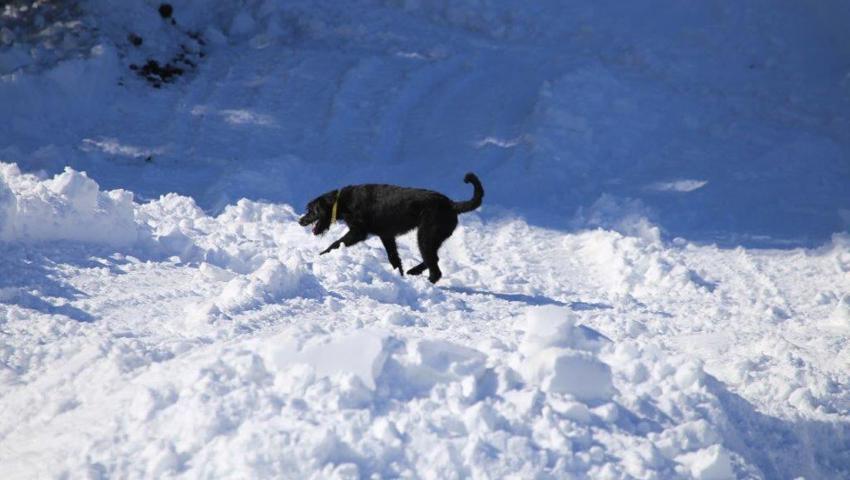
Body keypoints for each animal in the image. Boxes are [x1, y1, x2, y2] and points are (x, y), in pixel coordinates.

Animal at [298, 173, 484, 284]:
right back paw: (413, 271)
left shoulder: (358, 232)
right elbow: (394, 259)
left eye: (312, 210)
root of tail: (452, 205)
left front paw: (322, 255)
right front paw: (399, 276)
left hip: (425, 236)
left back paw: (426, 282)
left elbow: (336, 243)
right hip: (432, 238)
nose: (301, 221)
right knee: (434, 260)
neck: (342, 201)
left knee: (435, 268)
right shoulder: (386, 236)